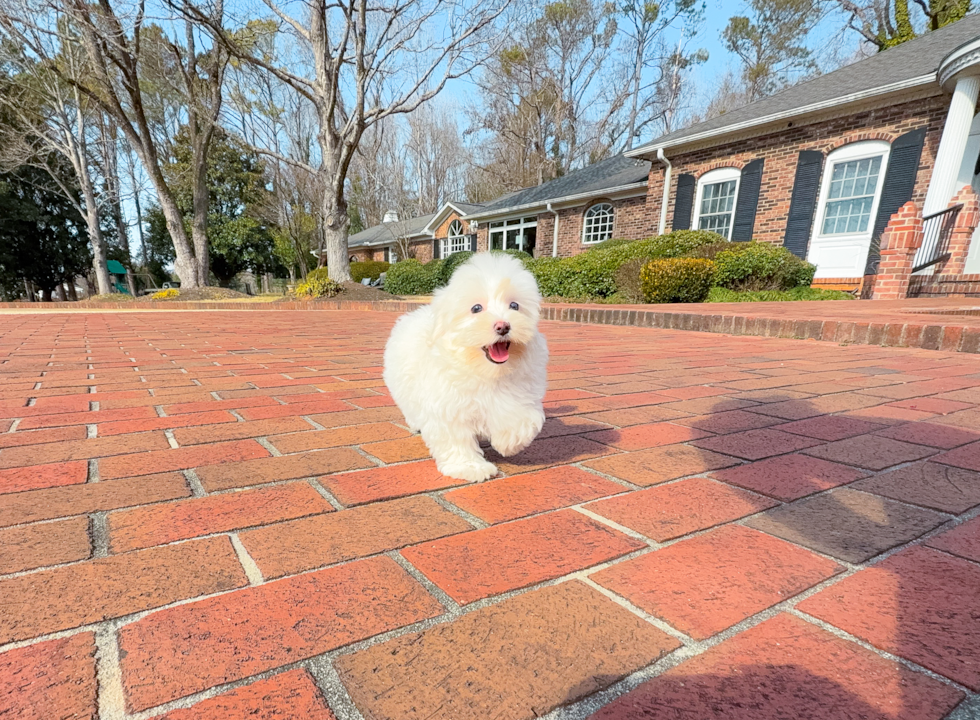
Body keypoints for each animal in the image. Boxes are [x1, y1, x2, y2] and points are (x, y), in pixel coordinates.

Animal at [384, 250, 552, 480]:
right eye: (476, 308)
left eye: (514, 306)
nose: (503, 326)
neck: (485, 370)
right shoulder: (447, 404)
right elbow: (455, 438)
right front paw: (470, 467)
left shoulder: (520, 390)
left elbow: (522, 419)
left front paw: (508, 441)